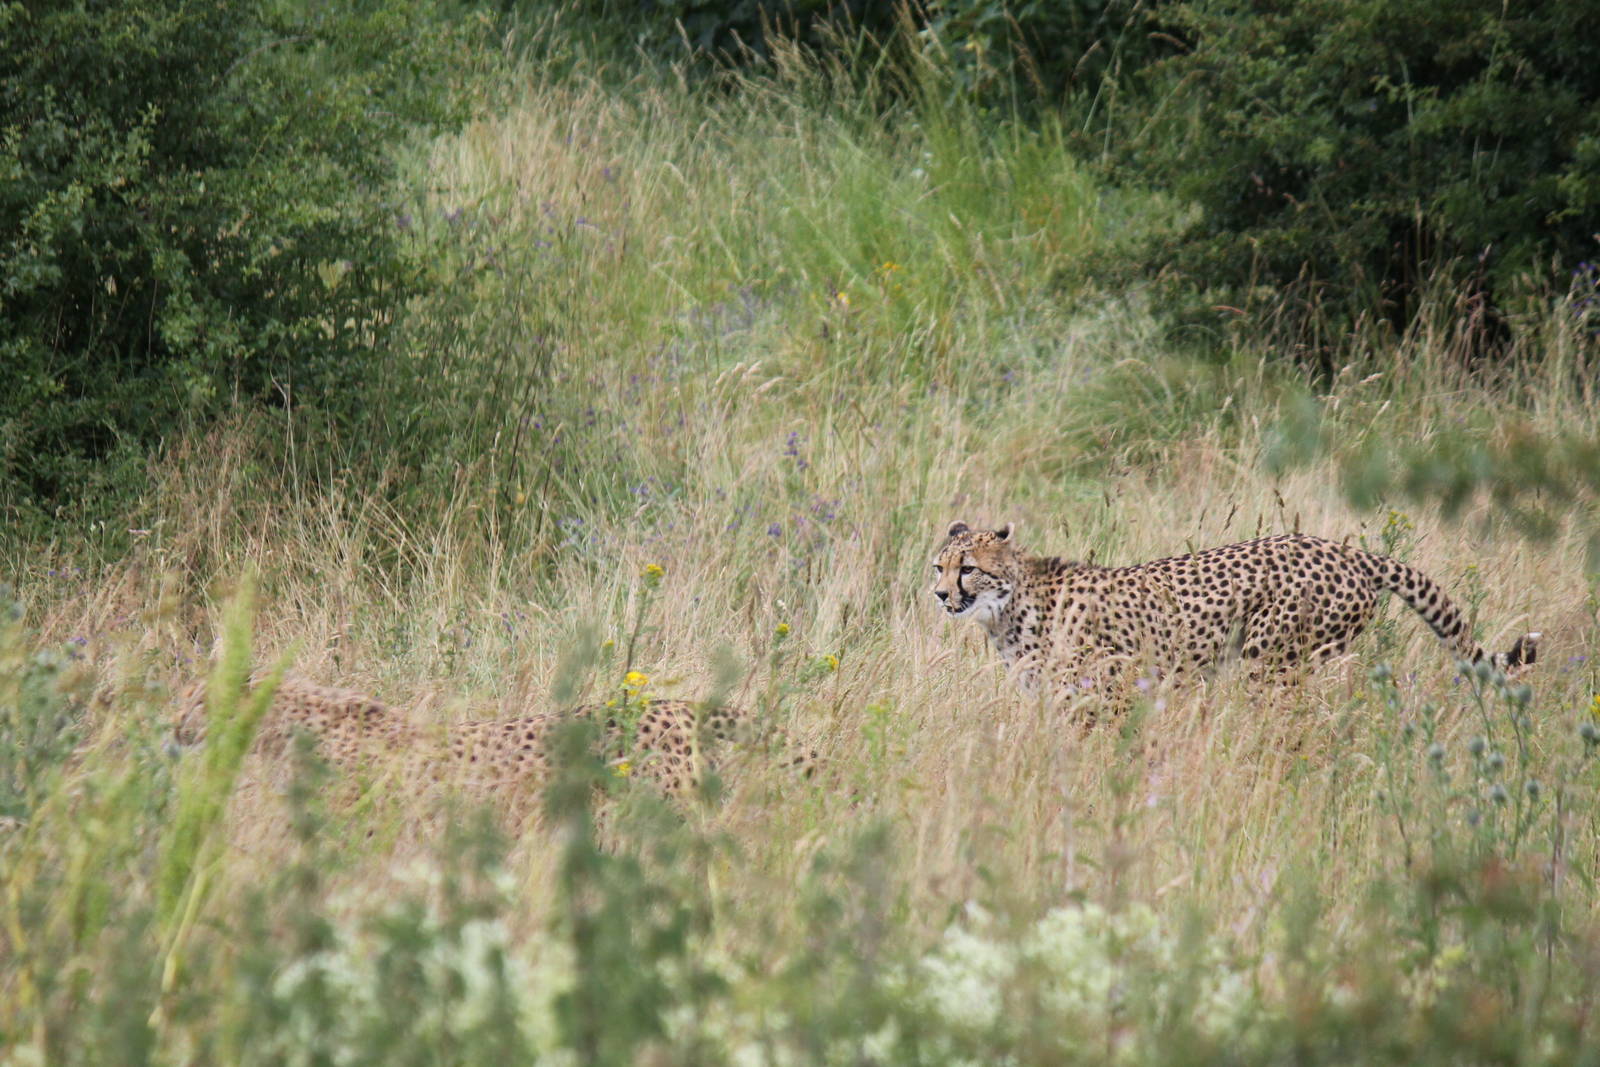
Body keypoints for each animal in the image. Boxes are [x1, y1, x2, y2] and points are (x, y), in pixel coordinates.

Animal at [931, 521, 1539, 708]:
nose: (939, 595)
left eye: (967, 569)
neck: (1009, 607)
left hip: (1274, 662)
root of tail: (1345, 549)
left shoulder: (1116, 681)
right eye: (938, 565)